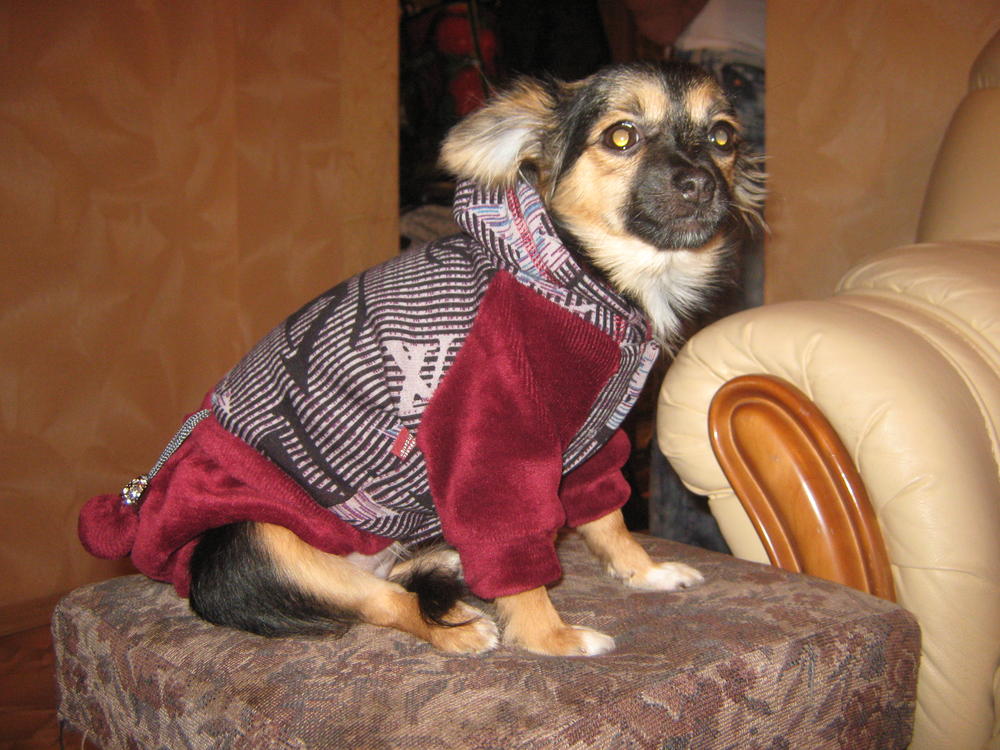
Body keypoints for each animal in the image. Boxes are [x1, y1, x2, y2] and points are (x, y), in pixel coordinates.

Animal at [80, 62, 764, 657]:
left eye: (723, 137)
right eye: (621, 136)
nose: (701, 182)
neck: (589, 277)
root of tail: (192, 583)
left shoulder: (591, 439)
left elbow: (607, 514)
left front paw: (643, 572)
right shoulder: (491, 445)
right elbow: (515, 555)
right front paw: (550, 638)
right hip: (271, 541)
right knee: (382, 602)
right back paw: (459, 628)